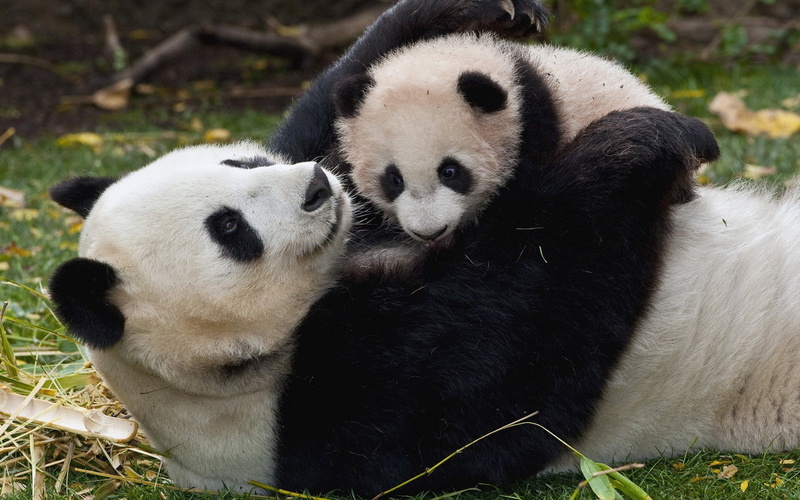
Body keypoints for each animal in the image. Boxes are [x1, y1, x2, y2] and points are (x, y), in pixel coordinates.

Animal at [48, 107, 715, 495]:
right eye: (229, 229)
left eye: (240, 160)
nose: (318, 186)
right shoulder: (333, 415)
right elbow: (526, 339)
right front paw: (636, 142)